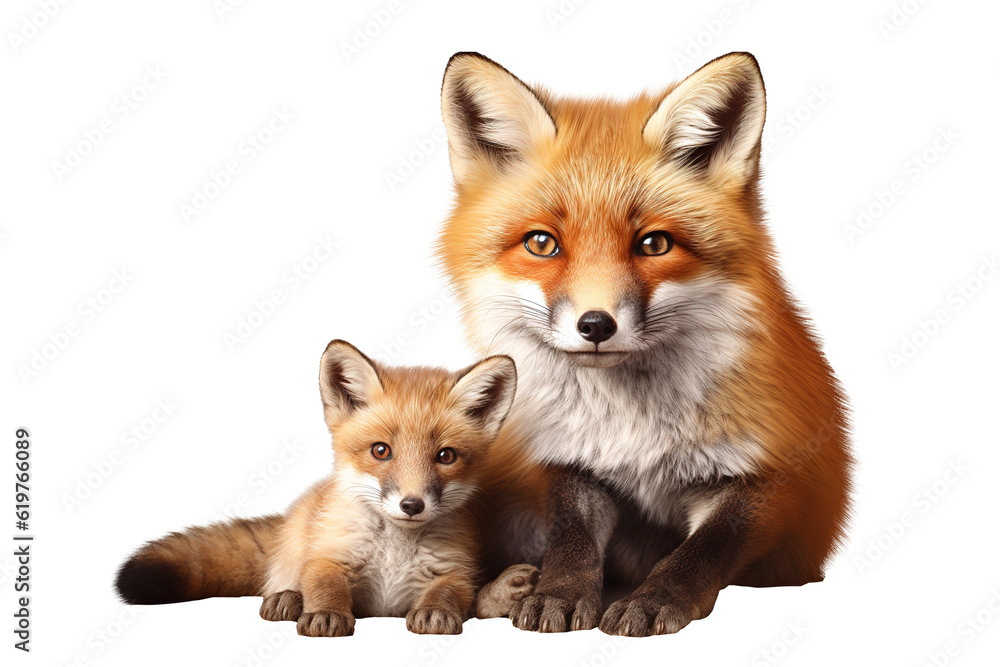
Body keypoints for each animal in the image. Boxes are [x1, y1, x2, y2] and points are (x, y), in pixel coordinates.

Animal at [114, 340, 539, 636]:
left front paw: (438, 610)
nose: (412, 504)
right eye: (381, 450)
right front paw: (325, 614)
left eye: (446, 456)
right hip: (297, 542)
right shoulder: (330, 556)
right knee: (283, 578)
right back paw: (287, 600)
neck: (395, 552)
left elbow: (452, 592)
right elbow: (324, 582)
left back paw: (505, 591)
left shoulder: (453, 568)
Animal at [437, 51, 854, 636]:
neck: (630, 427)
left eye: (654, 244)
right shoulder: (572, 463)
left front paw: (655, 599)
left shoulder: (772, 478)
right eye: (542, 243)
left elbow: (702, 550)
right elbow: (571, 537)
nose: (595, 325)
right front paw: (559, 592)